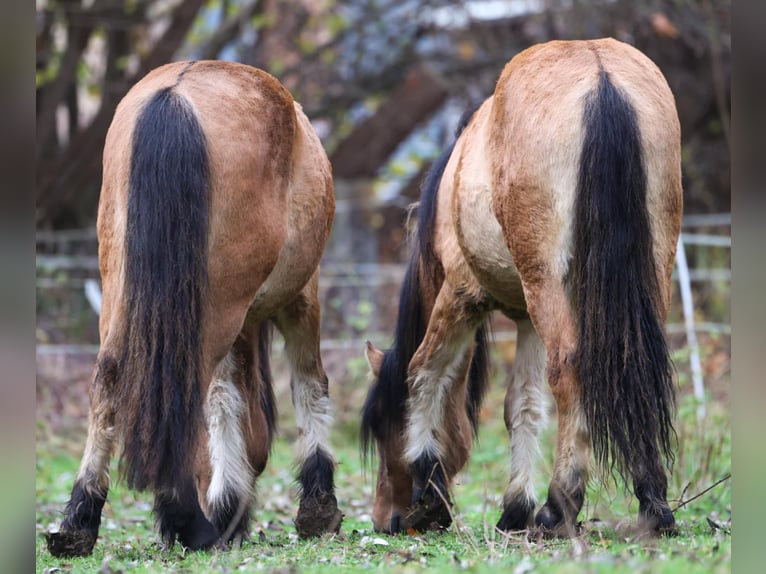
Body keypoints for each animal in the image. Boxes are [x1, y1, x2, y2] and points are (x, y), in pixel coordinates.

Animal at [46, 60, 342, 558]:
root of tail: (176, 94)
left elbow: (225, 402)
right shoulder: (302, 296)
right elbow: (308, 384)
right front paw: (316, 509)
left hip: (125, 292)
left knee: (109, 379)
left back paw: (79, 521)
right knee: (184, 390)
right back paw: (187, 521)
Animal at [361, 38, 683, 538]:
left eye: (383, 425)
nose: (386, 519)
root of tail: (601, 76)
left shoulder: (460, 296)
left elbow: (423, 372)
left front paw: (428, 487)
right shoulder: (526, 319)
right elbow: (522, 406)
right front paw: (514, 509)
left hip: (547, 283)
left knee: (570, 370)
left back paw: (558, 506)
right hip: (649, 272)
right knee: (638, 366)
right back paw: (654, 505)